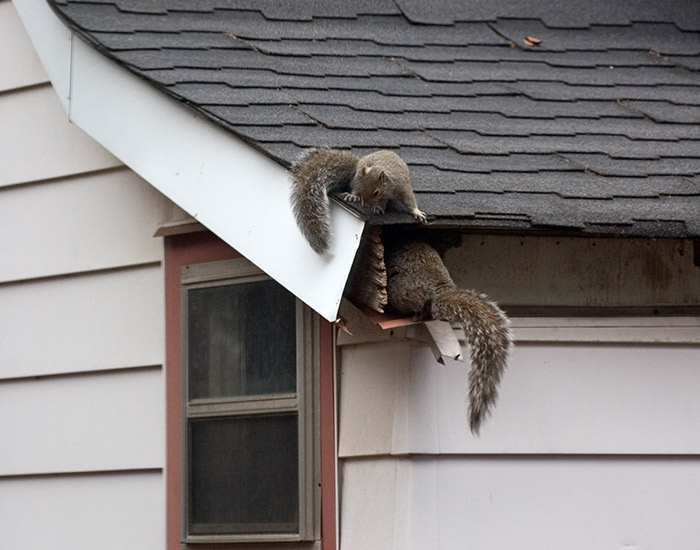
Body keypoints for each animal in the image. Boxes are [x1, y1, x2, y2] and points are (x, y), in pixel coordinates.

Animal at [290, 149, 426, 256]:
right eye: (363, 186)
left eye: (376, 192)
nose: (364, 205)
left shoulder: (402, 187)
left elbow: (409, 200)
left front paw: (417, 212)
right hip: (358, 175)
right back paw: (354, 196)